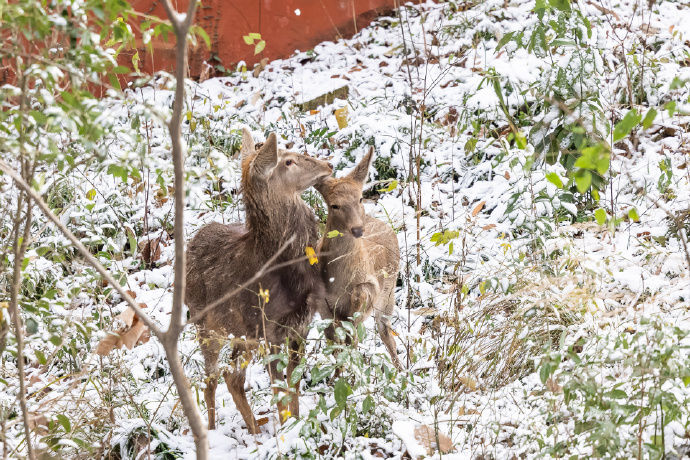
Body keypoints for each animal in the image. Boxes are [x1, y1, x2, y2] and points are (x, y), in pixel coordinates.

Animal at [184, 127, 332, 434]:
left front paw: (296, 426)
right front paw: (288, 432)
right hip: (205, 325)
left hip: (244, 334)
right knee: (210, 380)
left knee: (232, 377)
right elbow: (278, 389)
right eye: (287, 161)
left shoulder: (300, 324)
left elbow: (293, 383)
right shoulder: (271, 328)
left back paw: (253, 429)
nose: (328, 165)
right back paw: (212, 430)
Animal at [314, 147, 404, 370]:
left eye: (360, 199)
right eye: (334, 205)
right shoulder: (320, 304)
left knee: (385, 331)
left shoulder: (371, 288)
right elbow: (334, 345)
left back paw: (402, 371)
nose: (357, 229)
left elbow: (351, 334)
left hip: (389, 293)